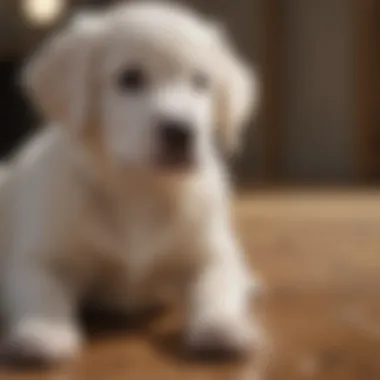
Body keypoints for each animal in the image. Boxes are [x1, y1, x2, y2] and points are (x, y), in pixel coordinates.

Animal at [0, 0, 258, 364]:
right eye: (130, 79)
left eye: (201, 81)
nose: (181, 131)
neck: (140, 189)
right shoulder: (37, 257)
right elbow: (41, 290)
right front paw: (43, 330)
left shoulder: (216, 254)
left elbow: (217, 286)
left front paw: (221, 325)